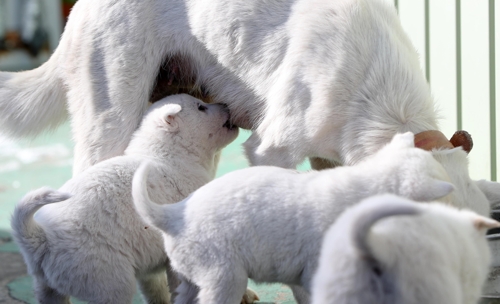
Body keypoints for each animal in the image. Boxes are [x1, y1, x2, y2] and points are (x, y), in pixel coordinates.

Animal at [9, 95, 246, 304]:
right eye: (201, 107)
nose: (225, 104)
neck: (170, 155)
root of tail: (41, 239)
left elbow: (155, 288)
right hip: (106, 276)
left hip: (48, 285)